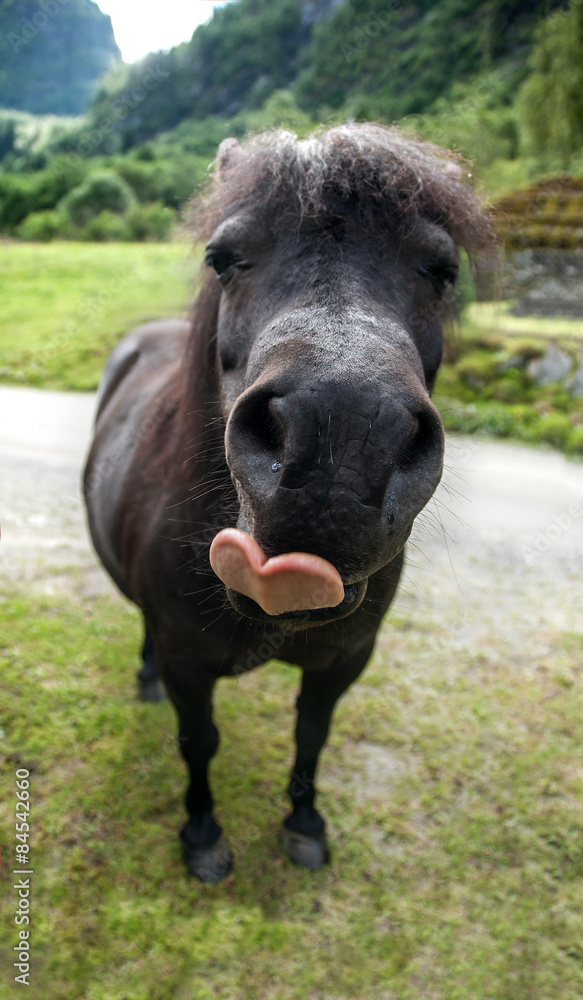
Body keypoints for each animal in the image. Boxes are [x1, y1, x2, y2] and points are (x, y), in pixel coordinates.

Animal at [84, 124, 493, 882]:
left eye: (442, 269)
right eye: (222, 257)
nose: (343, 442)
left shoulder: (344, 660)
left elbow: (312, 736)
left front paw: (304, 823)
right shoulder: (187, 661)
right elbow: (198, 742)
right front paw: (203, 835)